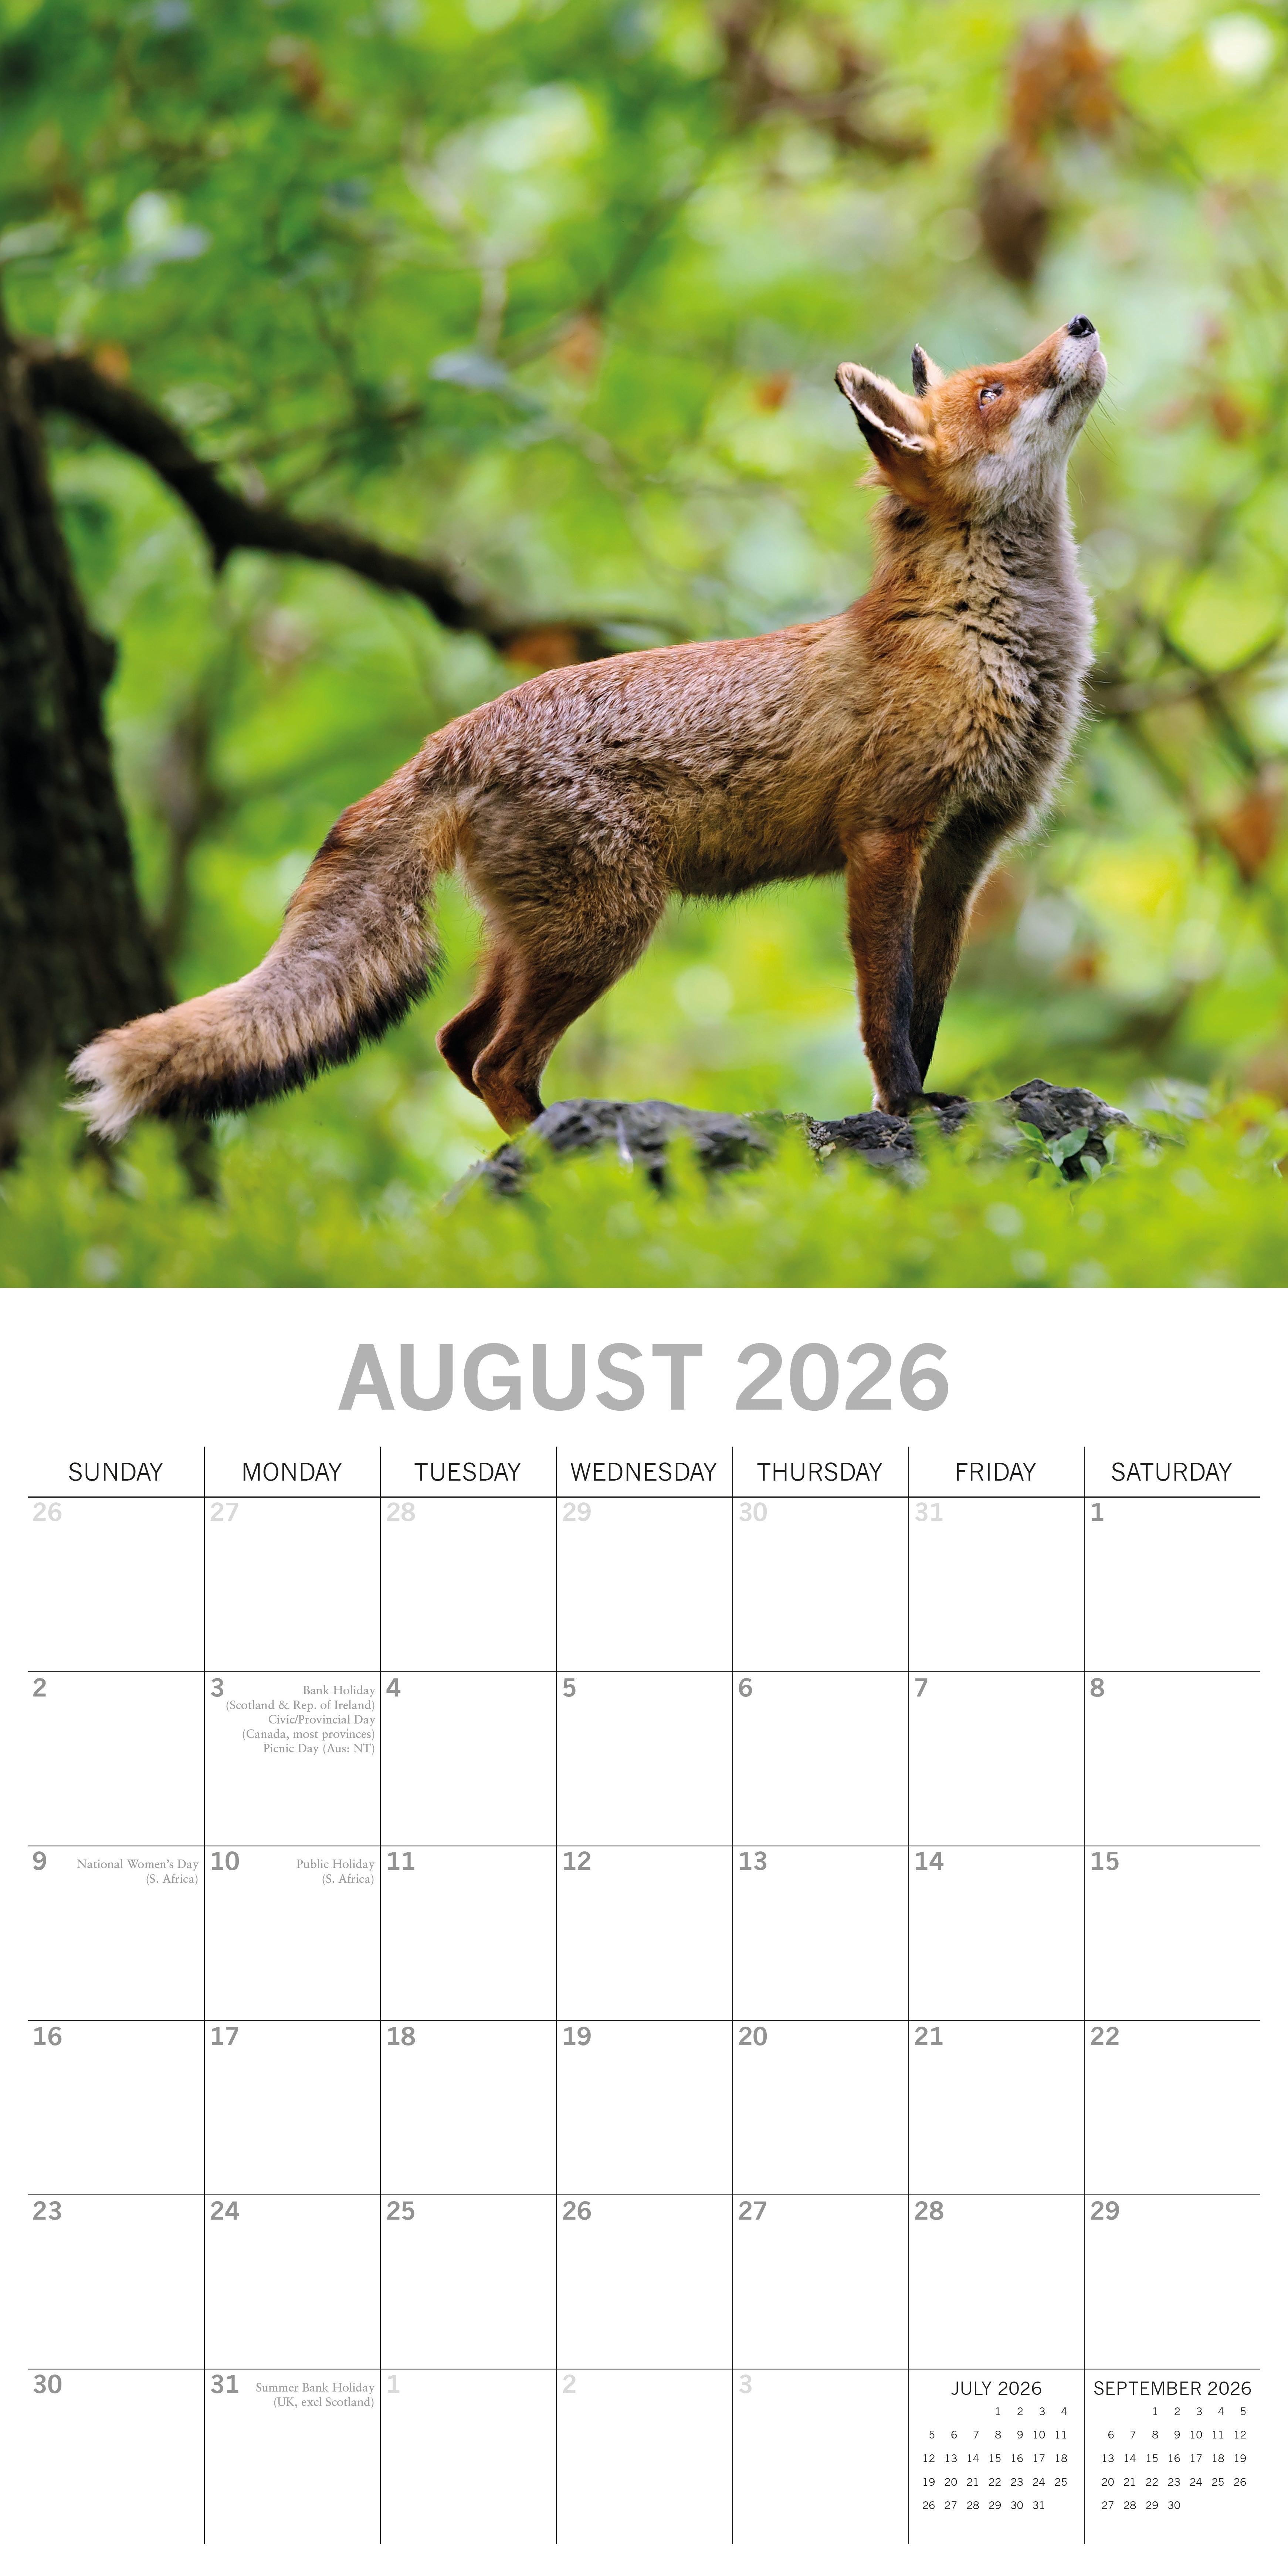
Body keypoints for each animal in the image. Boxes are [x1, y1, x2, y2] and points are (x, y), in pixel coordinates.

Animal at [71, 314, 1107, 1141]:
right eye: (993, 389)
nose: (1080, 323)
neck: (983, 636)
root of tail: (459, 733)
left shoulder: (964, 854)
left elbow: (926, 1006)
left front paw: (933, 1102)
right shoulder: (885, 836)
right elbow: (883, 1013)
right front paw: (900, 1109)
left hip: (540, 938)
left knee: (456, 1042)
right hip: (608, 928)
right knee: (495, 1060)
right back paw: (560, 1156)